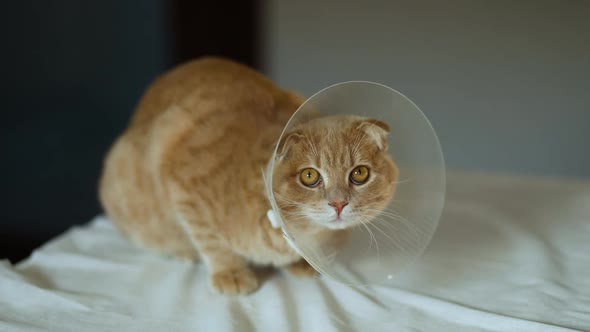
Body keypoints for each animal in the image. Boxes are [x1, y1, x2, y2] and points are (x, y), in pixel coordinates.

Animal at [99, 57, 400, 296]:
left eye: (359, 173)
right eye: (309, 176)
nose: (338, 203)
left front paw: (300, 263)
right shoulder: (183, 185)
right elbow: (210, 240)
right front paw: (229, 272)